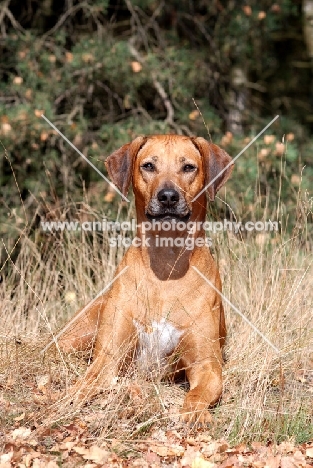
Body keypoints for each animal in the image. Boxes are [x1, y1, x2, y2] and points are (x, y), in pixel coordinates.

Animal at [56, 135, 232, 424]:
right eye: (149, 166)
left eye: (189, 167)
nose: (168, 196)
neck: (165, 264)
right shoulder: (107, 358)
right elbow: (84, 385)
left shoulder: (207, 365)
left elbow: (197, 395)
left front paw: (194, 414)